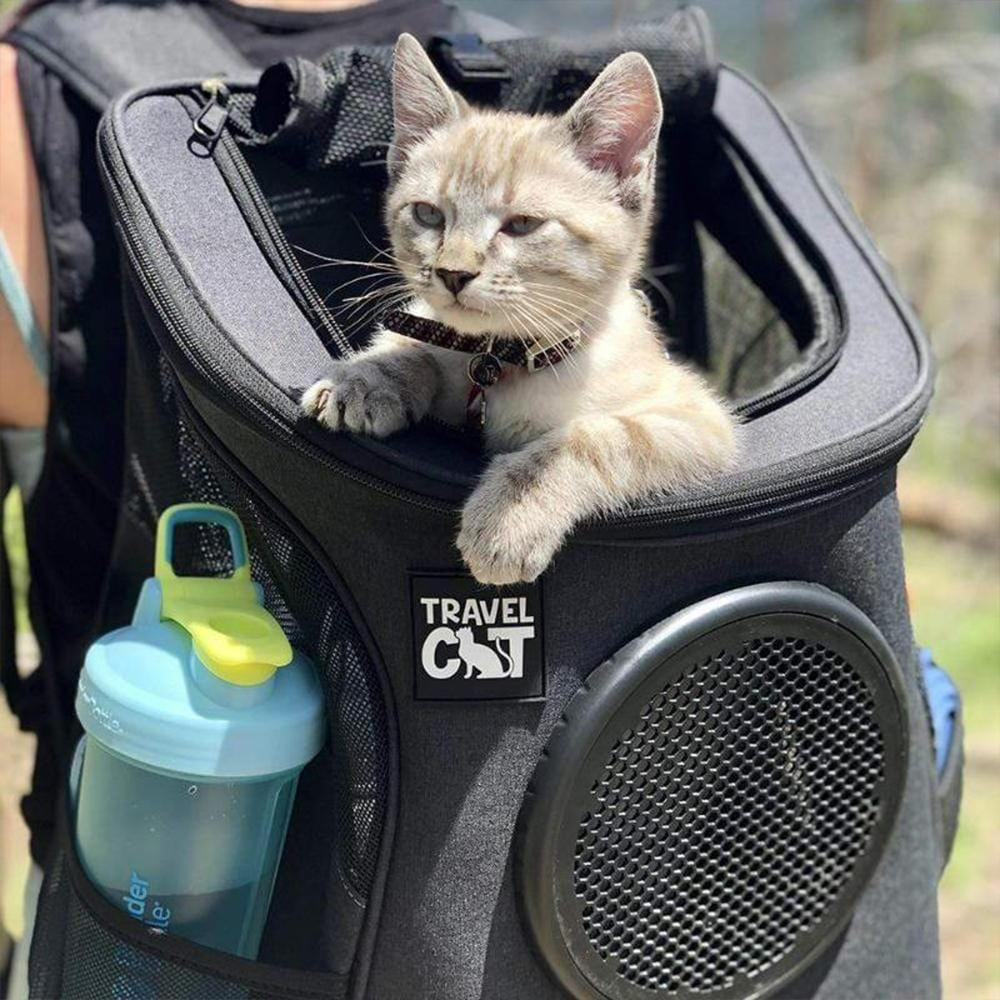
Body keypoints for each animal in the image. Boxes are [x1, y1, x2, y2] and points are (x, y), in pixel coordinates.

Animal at [300, 33, 740, 584]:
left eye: (523, 225)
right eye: (427, 214)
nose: (453, 273)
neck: (499, 358)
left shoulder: (698, 420)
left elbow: (593, 437)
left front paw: (510, 516)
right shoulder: (432, 326)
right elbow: (415, 344)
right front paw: (366, 377)